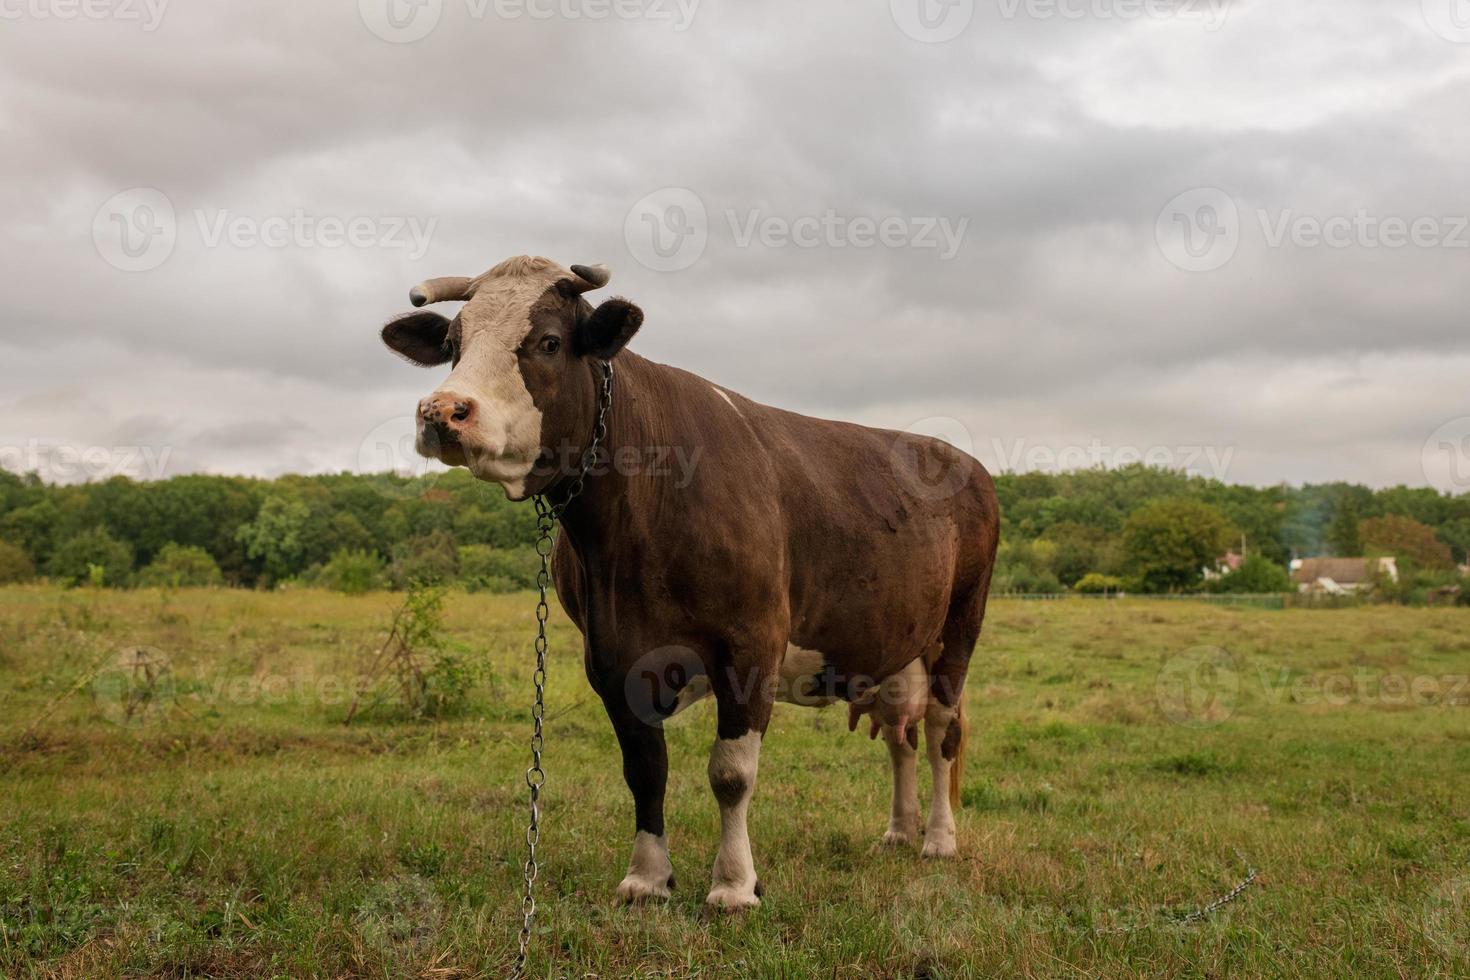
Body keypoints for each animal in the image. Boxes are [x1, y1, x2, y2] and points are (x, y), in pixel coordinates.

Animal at [379, 255, 999, 910]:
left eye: (548, 342)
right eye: (453, 345)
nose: (442, 411)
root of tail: (957, 457)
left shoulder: (752, 644)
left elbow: (731, 774)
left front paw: (734, 884)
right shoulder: (610, 658)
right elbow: (645, 771)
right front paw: (648, 878)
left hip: (960, 627)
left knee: (940, 731)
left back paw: (938, 840)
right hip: (894, 644)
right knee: (901, 737)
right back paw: (899, 832)